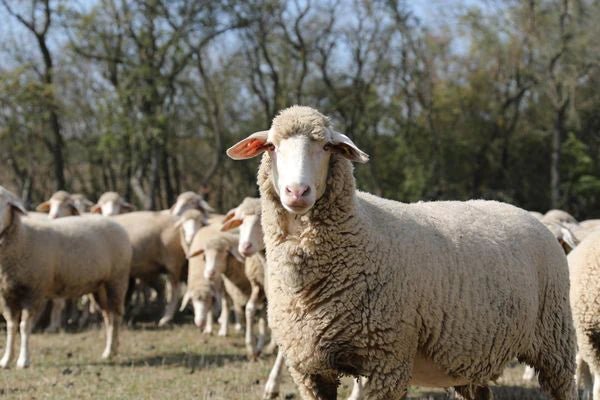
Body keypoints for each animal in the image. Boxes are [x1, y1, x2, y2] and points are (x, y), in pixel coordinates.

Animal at [0, 186, 131, 368]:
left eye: (4, 203)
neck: (21, 237)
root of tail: (114, 222)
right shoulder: (6, 293)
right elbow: (11, 326)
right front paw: (6, 359)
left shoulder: (34, 290)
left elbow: (24, 326)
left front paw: (23, 360)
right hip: (99, 286)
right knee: (108, 316)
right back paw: (109, 351)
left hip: (117, 279)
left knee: (116, 315)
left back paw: (111, 349)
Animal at [226, 105, 576, 400]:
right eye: (272, 147)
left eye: (326, 147)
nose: (297, 192)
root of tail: (531, 216)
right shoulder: (310, 369)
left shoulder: (387, 360)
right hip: (473, 352)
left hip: (555, 340)